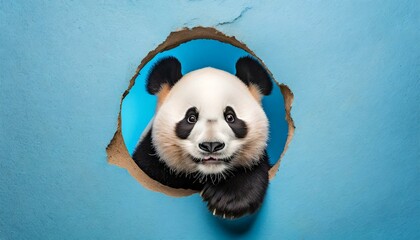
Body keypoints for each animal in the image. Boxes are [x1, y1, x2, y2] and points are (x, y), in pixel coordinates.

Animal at [133, 56, 274, 219]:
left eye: (230, 117)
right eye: (191, 118)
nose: (211, 145)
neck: (208, 175)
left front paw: (228, 200)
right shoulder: (151, 160)